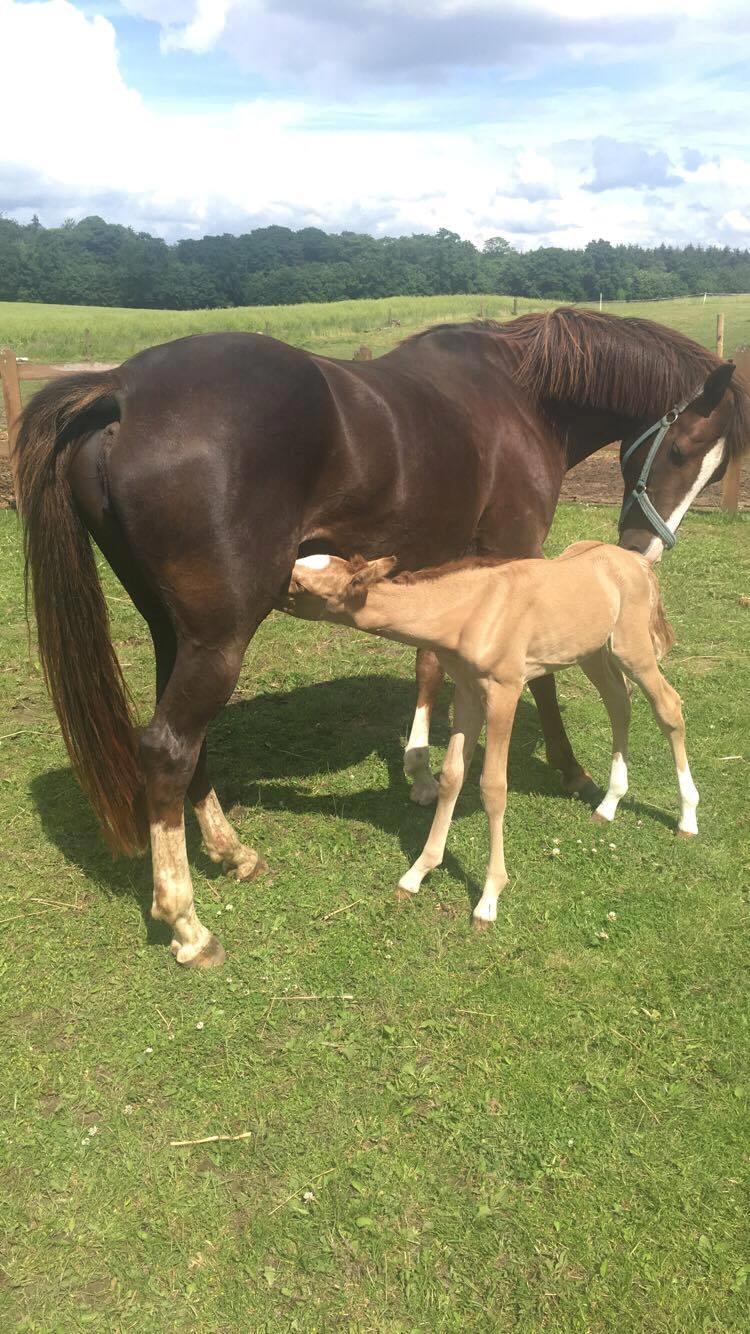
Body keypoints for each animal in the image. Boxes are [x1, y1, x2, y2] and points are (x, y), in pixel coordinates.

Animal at [284, 541, 693, 928]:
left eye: (301, 585)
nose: (271, 586)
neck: (469, 613)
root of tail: (636, 561)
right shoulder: (467, 692)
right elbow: (452, 776)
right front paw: (417, 873)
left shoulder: (503, 692)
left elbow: (493, 787)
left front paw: (489, 900)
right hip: (592, 652)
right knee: (619, 703)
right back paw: (609, 805)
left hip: (632, 649)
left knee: (668, 707)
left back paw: (688, 818)